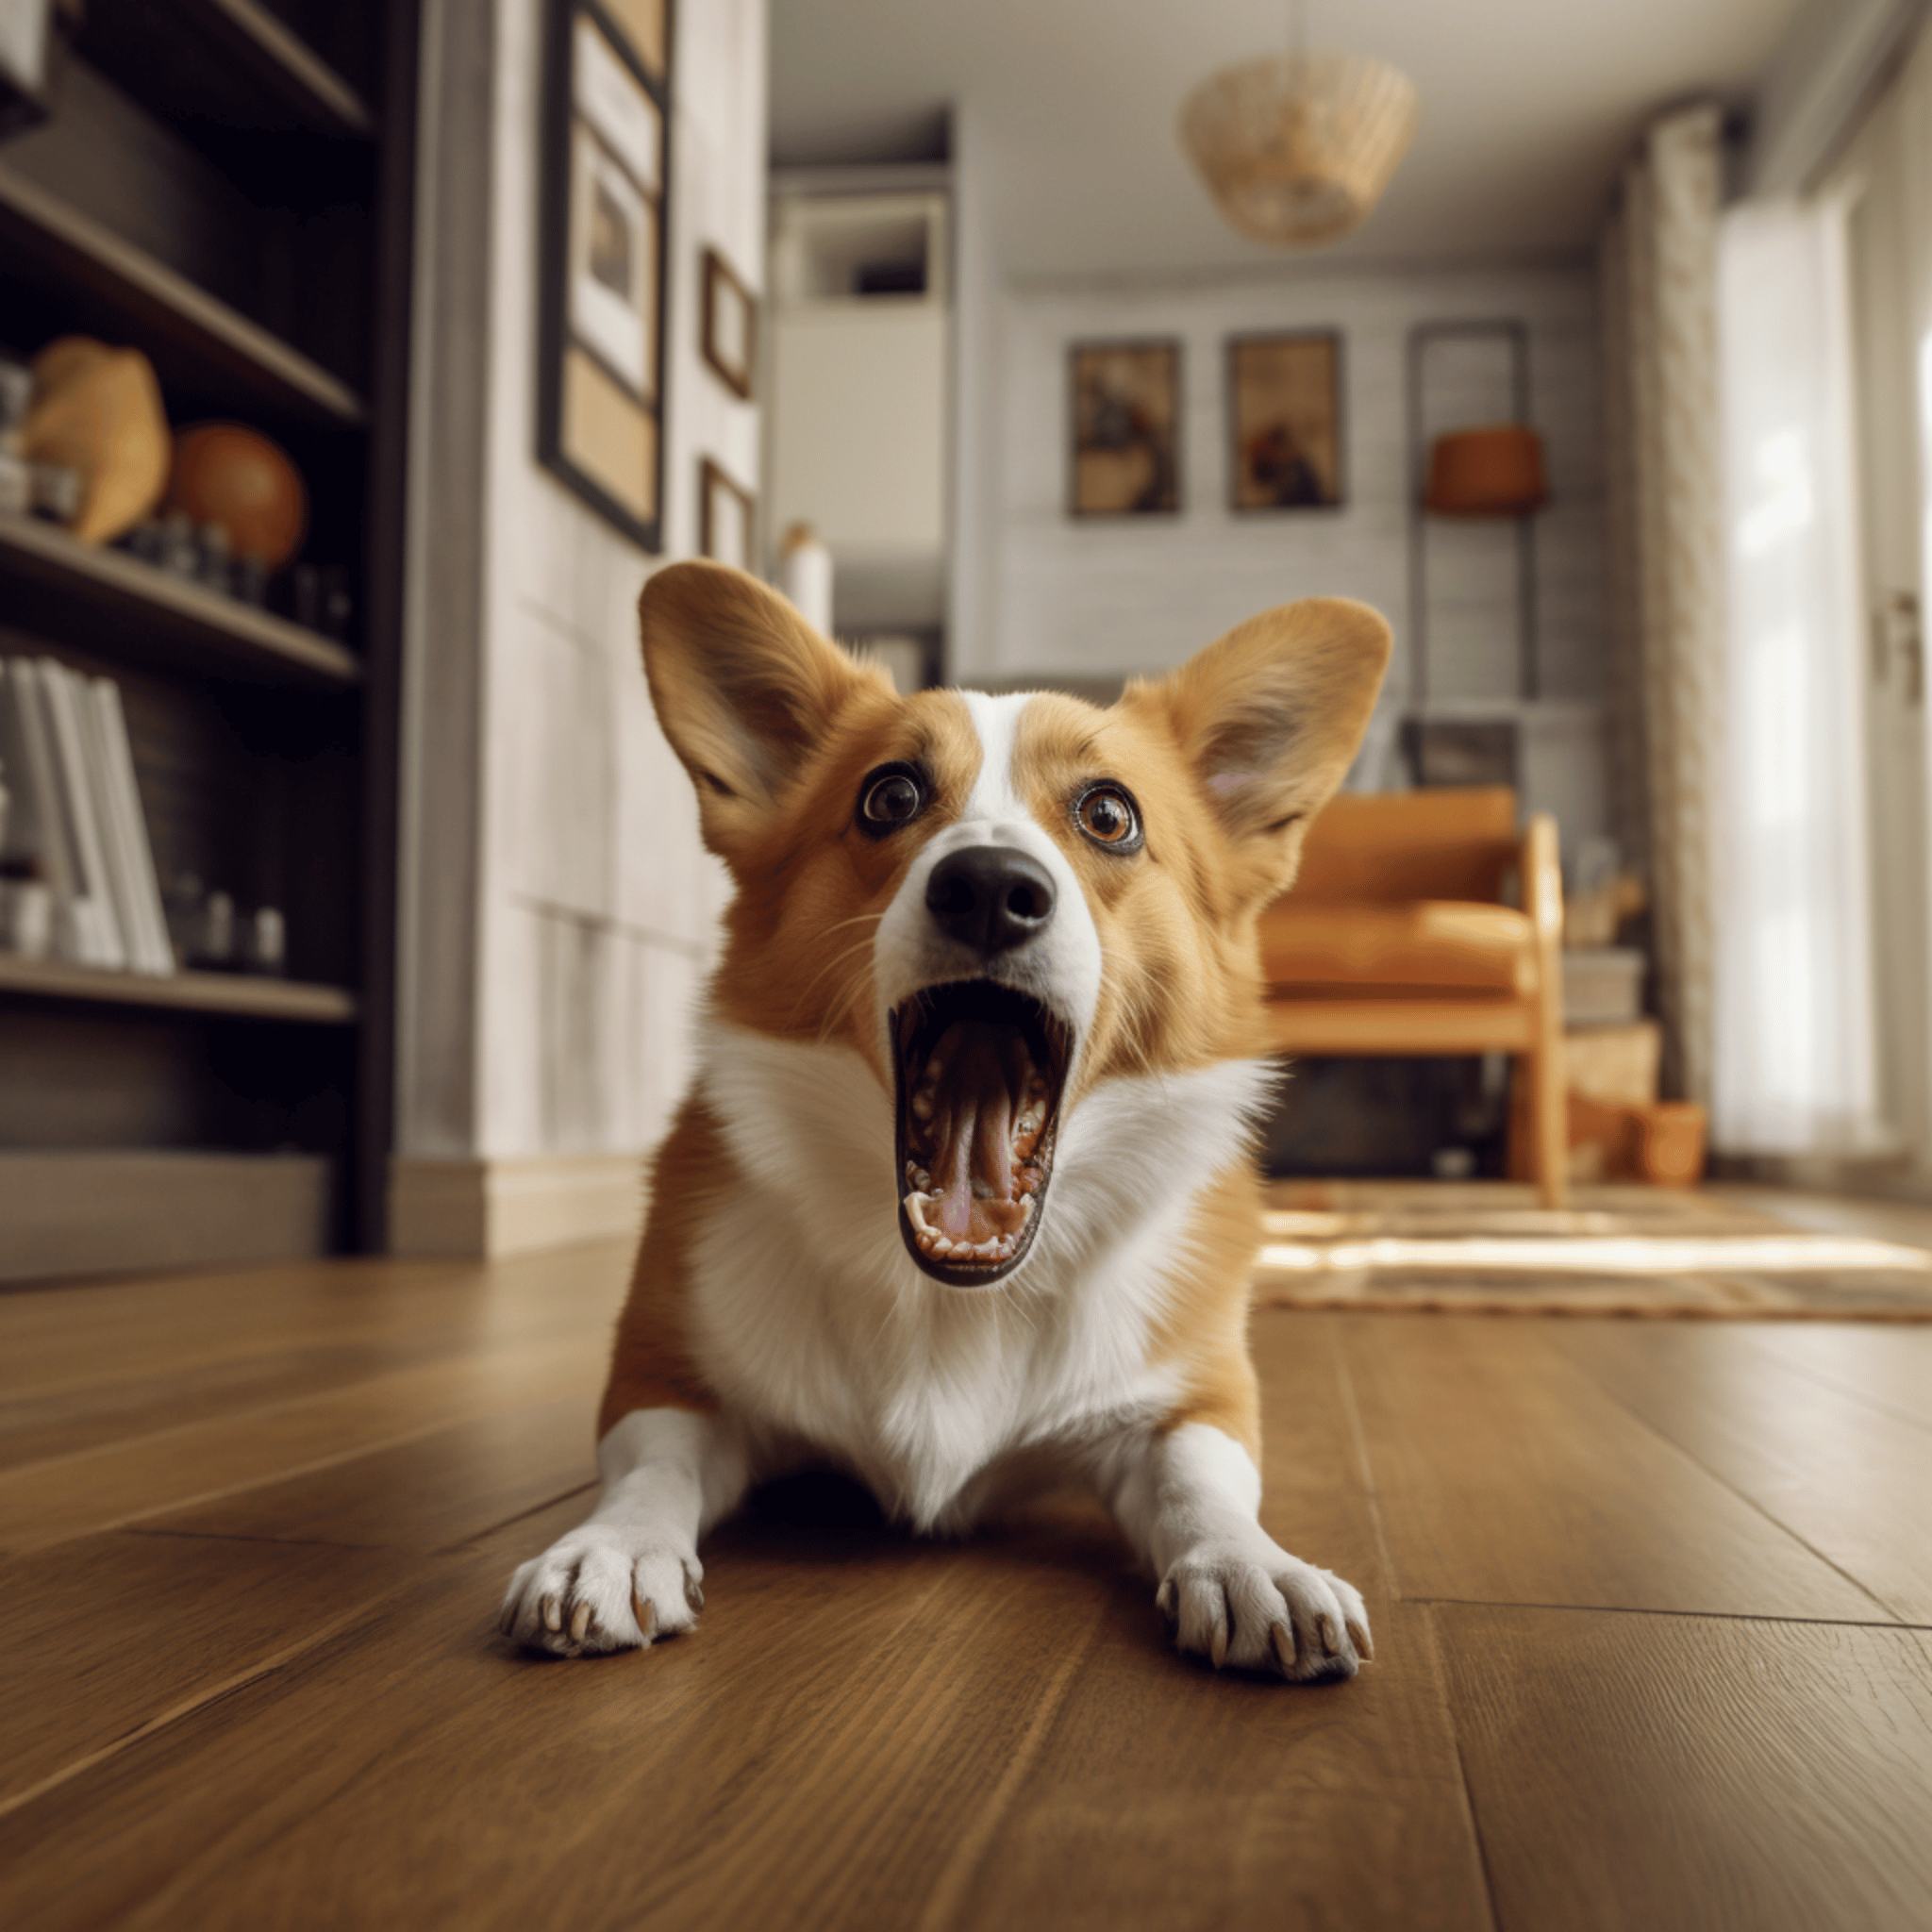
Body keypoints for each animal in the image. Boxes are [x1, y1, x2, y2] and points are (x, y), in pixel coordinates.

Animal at [502, 559, 1391, 1676]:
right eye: (889, 796)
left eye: (1109, 815)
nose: (990, 888)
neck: (955, 1301)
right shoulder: (662, 1372)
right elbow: (647, 1464)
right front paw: (610, 1548)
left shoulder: (1197, 1397)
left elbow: (1202, 1472)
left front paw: (1252, 1564)